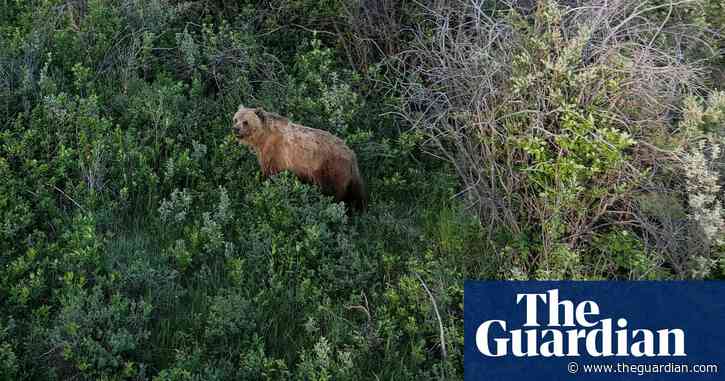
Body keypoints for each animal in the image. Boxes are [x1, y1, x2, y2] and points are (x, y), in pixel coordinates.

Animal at [232, 104, 368, 211]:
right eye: (235, 119)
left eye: (245, 122)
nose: (235, 129)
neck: (262, 138)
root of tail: (351, 155)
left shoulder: (275, 152)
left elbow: (271, 173)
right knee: (356, 194)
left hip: (330, 168)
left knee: (334, 193)